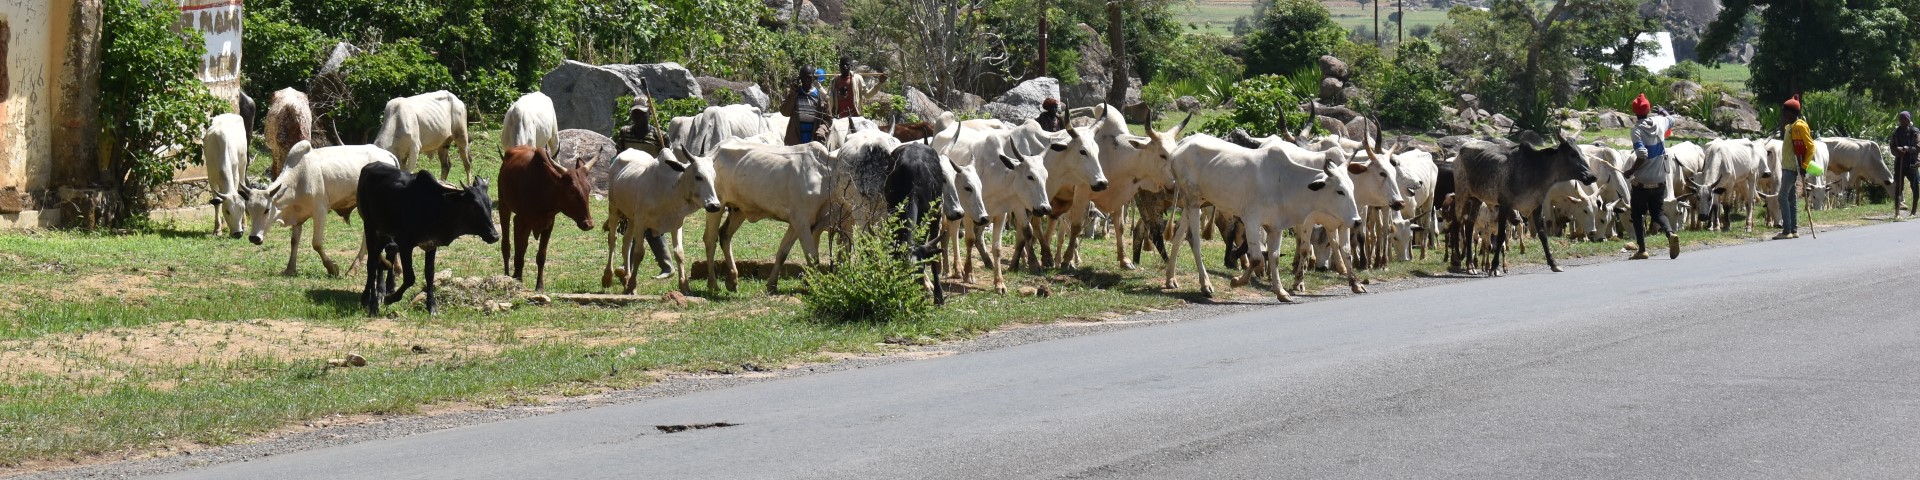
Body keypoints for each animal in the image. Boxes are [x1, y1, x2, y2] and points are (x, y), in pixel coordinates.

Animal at [245, 141, 399, 278]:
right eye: (249, 212)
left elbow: (317, 244)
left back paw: (354, 270)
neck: (299, 178)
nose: (254, 238)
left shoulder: (320, 211)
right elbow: (294, 241)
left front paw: (332, 268)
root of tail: (387, 154)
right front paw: (290, 269)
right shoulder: (298, 217)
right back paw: (393, 267)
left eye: (266, 210)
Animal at [357, 163, 499, 316]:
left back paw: (372, 296)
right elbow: (410, 278)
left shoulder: (431, 244)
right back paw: (372, 304)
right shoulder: (405, 244)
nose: (495, 236)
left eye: (489, 204)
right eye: (473, 206)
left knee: (380, 261)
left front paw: (431, 305)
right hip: (370, 227)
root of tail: (369, 166)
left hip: (384, 232)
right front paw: (391, 298)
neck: (437, 206)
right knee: (372, 264)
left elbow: (429, 274)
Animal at [499, 144, 595, 289]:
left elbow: (541, 257)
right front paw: (517, 279)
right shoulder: (519, 221)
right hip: (503, 206)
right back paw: (507, 274)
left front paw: (539, 286)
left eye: (588, 189)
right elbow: (519, 253)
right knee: (507, 245)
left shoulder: (548, 224)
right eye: (572, 190)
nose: (588, 224)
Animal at [599, 147, 721, 293]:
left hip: (631, 218)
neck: (669, 191)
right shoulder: (641, 222)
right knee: (613, 240)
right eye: (698, 176)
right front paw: (633, 286)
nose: (714, 205)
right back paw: (608, 277)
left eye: (714, 176)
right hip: (614, 208)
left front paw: (684, 286)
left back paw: (626, 278)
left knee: (626, 243)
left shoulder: (677, 224)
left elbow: (679, 253)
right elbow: (639, 253)